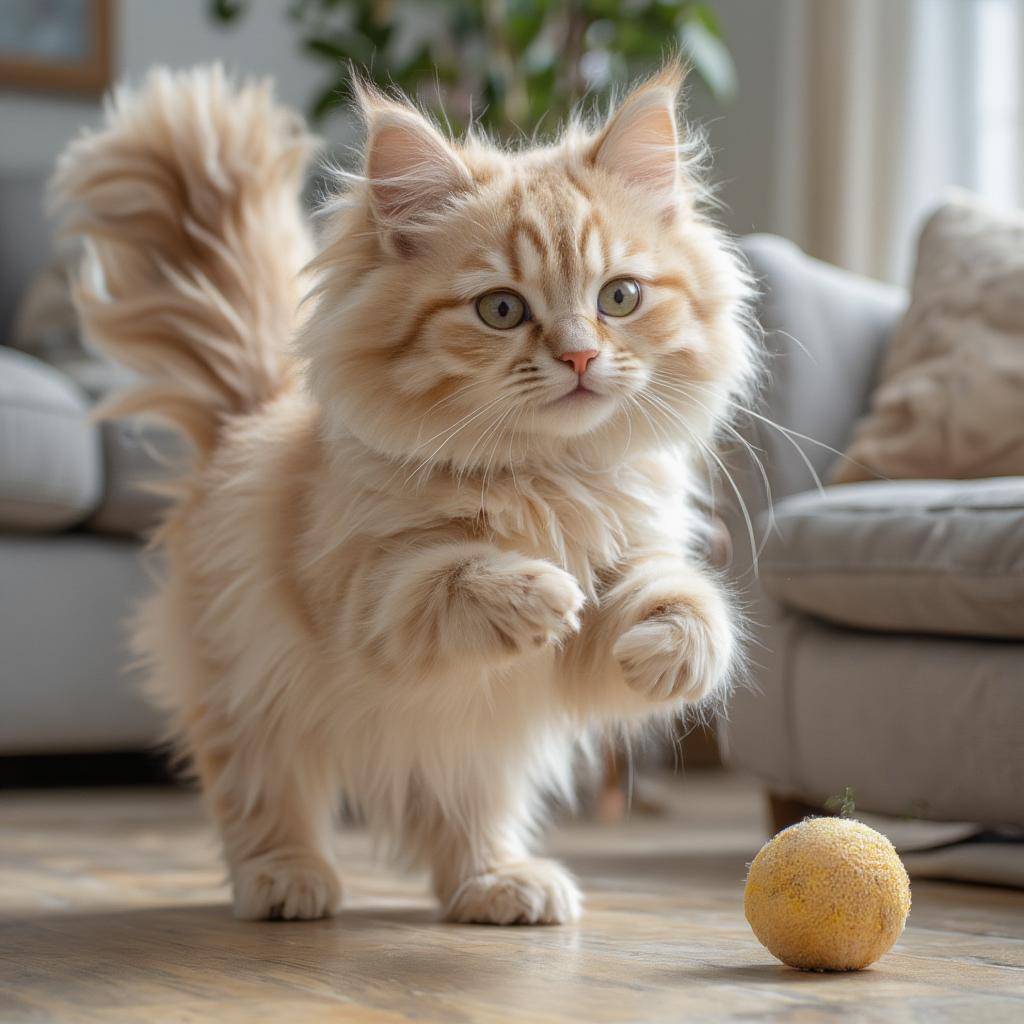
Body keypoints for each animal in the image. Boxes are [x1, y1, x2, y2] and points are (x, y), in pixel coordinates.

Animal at [56, 64, 757, 929]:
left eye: (619, 298)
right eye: (501, 309)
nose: (581, 357)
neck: (547, 476)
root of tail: (247, 419)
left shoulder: (635, 554)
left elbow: (683, 601)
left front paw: (664, 649)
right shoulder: (366, 595)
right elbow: (455, 577)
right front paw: (539, 589)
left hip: (476, 750)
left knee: (458, 818)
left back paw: (499, 884)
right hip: (250, 687)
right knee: (261, 791)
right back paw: (286, 880)